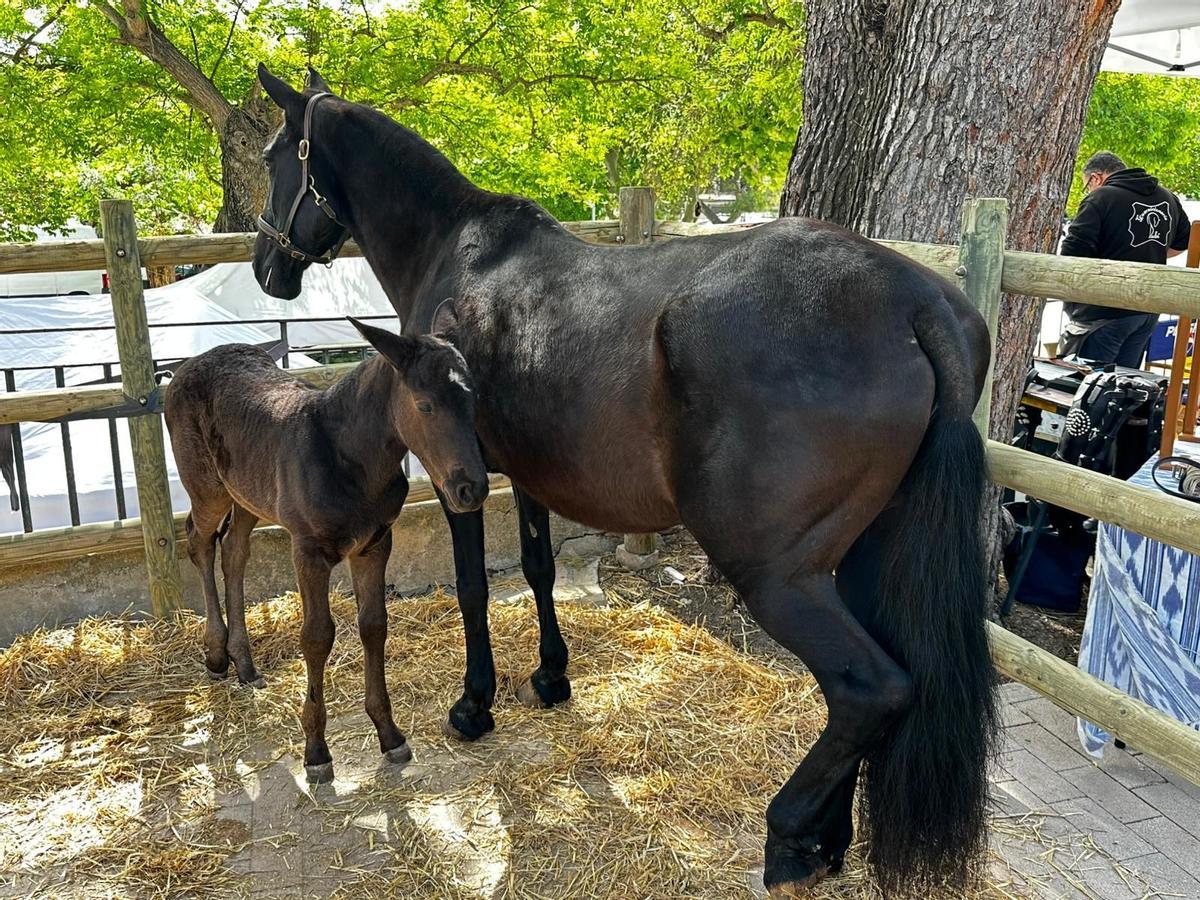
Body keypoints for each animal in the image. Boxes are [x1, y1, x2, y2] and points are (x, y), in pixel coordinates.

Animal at [164, 317, 489, 784]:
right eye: (425, 404)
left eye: (473, 398)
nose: (471, 489)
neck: (350, 459)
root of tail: (184, 368)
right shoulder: (309, 551)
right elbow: (317, 637)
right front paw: (316, 751)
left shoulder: (374, 544)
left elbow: (374, 626)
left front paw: (389, 734)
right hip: (207, 488)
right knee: (199, 541)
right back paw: (215, 653)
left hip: (247, 495)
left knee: (235, 552)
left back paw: (245, 663)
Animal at [250, 65, 997, 895]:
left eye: (275, 155)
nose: (265, 268)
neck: (460, 252)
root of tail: (917, 304)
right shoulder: (527, 475)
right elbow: (538, 570)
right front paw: (550, 677)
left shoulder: (459, 481)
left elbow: (475, 587)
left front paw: (475, 705)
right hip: (866, 556)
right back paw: (828, 842)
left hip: (780, 576)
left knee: (870, 689)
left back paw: (788, 838)